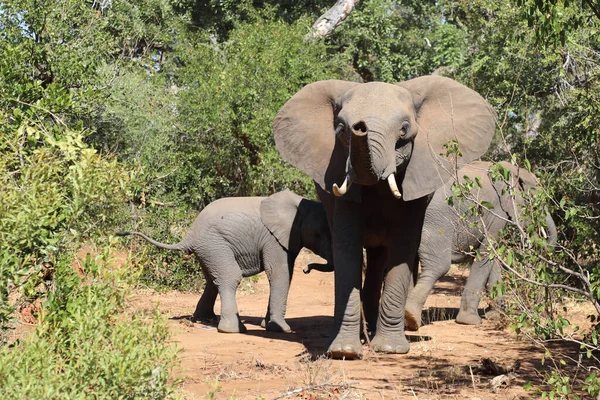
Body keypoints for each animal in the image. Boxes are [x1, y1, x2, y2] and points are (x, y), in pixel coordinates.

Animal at [117, 189, 332, 332]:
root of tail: (190, 233)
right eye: (318, 234)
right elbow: (279, 273)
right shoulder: (273, 239)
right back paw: (233, 330)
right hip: (214, 244)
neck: (301, 205)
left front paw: (267, 325)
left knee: (212, 281)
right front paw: (281, 329)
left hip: (210, 249)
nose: (307, 269)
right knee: (230, 277)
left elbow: (284, 273)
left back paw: (205, 320)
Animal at [274, 76, 496, 360]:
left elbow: (403, 245)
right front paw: (344, 351)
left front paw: (390, 349)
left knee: (381, 257)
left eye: (403, 130)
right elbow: (348, 247)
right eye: (341, 129)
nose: (360, 126)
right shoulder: (338, 175)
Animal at [404, 161, 556, 330]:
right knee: (438, 267)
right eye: (536, 202)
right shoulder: (497, 212)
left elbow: (493, 258)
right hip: (435, 221)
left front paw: (495, 316)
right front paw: (470, 321)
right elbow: (486, 253)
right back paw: (411, 319)